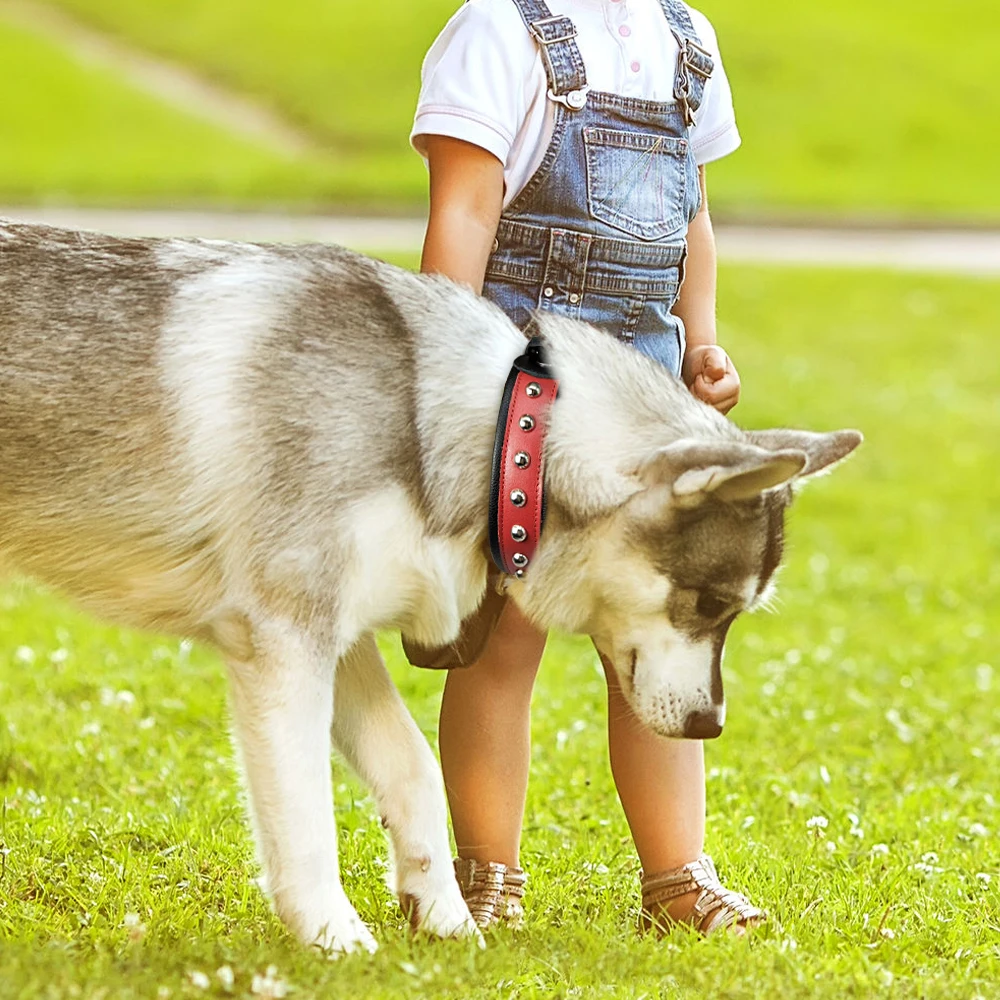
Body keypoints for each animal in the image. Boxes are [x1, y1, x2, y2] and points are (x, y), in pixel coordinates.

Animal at [0, 223, 860, 956]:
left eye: (736, 615)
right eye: (710, 605)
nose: (712, 724)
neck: (504, 431)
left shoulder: (344, 641)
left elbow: (414, 767)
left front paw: (443, 913)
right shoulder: (284, 642)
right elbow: (306, 814)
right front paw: (333, 935)